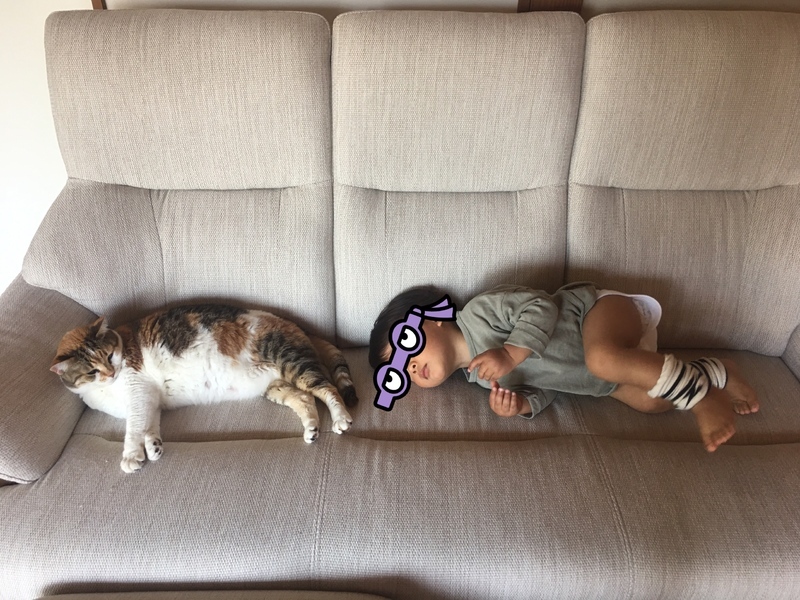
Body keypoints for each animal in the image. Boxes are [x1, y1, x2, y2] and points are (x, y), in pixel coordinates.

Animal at [51, 304, 358, 473]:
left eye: (110, 356)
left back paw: (341, 419)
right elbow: (149, 423)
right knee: (304, 398)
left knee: (327, 388)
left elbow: (134, 427)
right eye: (91, 371)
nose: (111, 373)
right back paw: (312, 430)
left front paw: (132, 456)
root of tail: (298, 326)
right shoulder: (149, 399)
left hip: (291, 360)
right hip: (276, 385)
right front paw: (153, 446)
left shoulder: (137, 390)